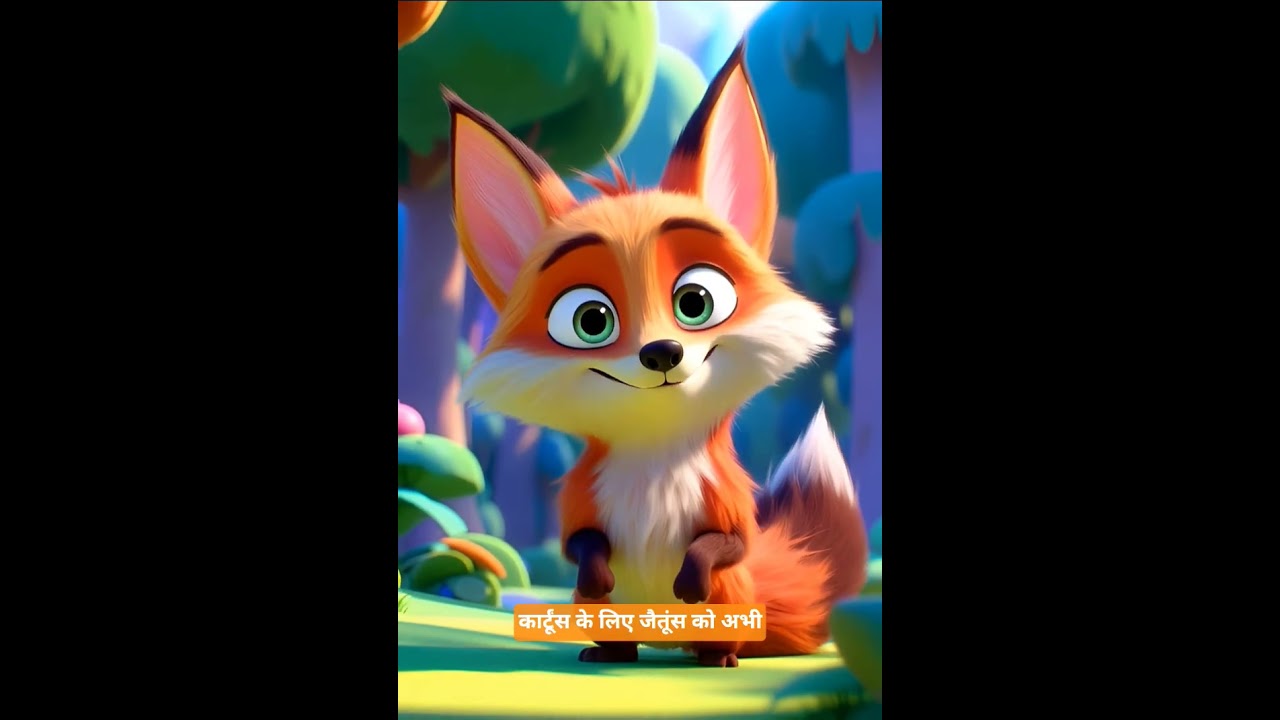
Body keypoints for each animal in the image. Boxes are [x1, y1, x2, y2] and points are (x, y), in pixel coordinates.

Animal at [444, 42, 869, 668]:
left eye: (695, 301)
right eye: (591, 320)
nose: (662, 352)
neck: (652, 458)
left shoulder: (726, 499)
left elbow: (725, 543)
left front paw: (688, 581)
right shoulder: (583, 497)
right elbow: (581, 544)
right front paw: (596, 572)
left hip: (731, 597)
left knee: (720, 625)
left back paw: (717, 656)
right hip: (602, 613)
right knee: (614, 629)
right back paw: (611, 653)